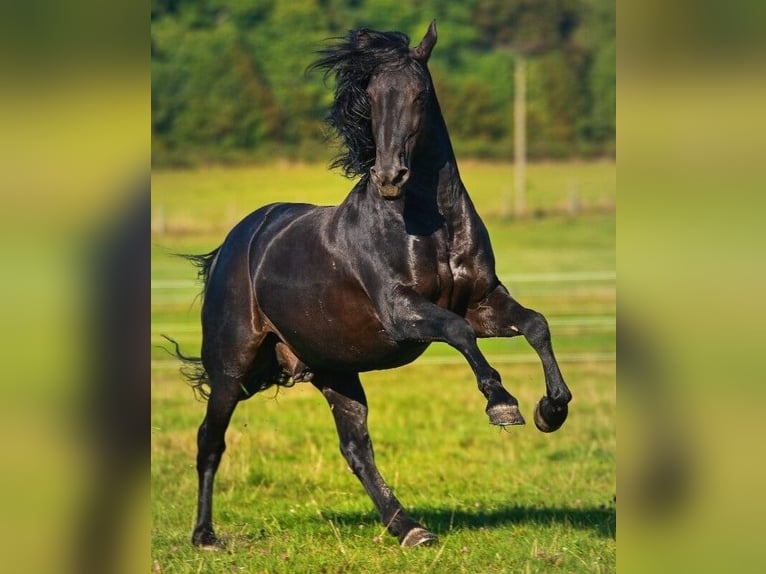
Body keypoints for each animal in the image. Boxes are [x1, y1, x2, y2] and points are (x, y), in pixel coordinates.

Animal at [172, 22, 568, 552]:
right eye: (373, 97)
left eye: (419, 94)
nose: (389, 176)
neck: (426, 223)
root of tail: (232, 246)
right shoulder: (402, 313)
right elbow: (458, 332)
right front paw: (502, 403)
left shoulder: (484, 302)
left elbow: (535, 325)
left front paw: (551, 409)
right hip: (231, 368)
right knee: (210, 440)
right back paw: (205, 536)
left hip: (333, 370)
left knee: (356, 449)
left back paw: (411, 528)